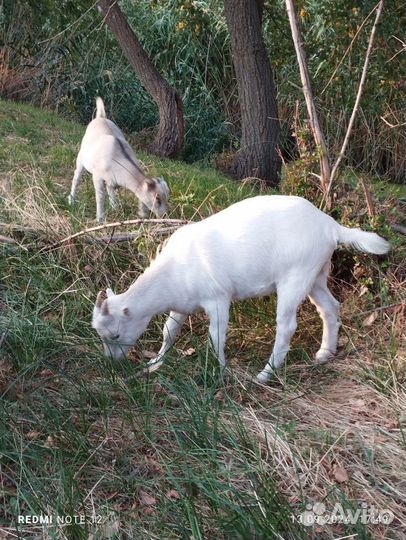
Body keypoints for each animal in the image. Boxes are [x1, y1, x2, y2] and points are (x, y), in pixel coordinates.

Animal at [92, 196, 390, 382]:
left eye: (116, 335)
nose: (111, 361)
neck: (175, 270)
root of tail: (331, 226)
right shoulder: (182, 304)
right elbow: (169, 331)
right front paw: (155, 362)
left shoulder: (217, 298)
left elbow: (217, 335)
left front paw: (221, 370)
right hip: (316, 275)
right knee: (330, 307)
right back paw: (324, 354)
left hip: (295, 276)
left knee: (287, 326)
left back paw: (266, 374)